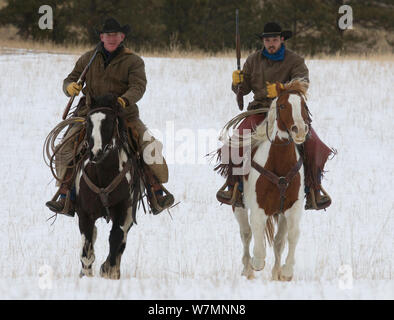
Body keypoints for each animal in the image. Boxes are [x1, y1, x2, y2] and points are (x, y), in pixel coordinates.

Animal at [74, 94, 143, 278]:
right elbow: (87, 249)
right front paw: (86, 274)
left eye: (110, 122)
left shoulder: (123, 211)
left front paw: (108, 271)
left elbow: (116, 239)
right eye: (88, 122)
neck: (103, 175)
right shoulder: (84, 214)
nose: (95, 153)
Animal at [234, 79, 310, 280]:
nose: (300, 130)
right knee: (246, 234)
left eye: (303, 105)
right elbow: (257, 232)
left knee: (278, 241)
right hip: (238, 206)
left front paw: (287, 270)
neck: (279, 162)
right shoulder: (258, 207)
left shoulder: (293, 208)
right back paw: (247, 268)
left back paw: (276, 272)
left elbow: (292, 235)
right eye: (283, 105)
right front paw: (257, 262)